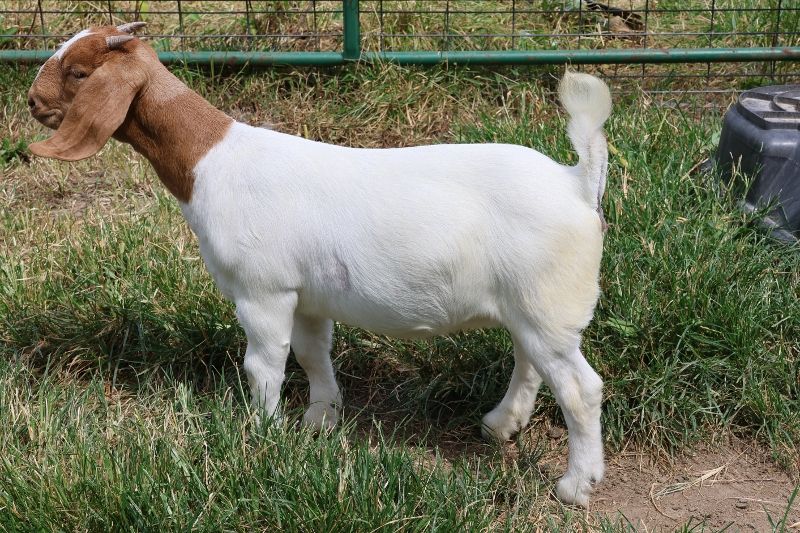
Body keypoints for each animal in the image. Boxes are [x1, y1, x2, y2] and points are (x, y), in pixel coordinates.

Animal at [27, 23, 612, 507]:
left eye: (78, 72)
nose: (32, 102)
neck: (210, 159)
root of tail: (576, 183)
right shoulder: (307, 295)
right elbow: (312, 354)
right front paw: (319, 421)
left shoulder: (262, 291)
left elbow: (264, 365)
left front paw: (262, 436)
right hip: (529, 303)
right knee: (530, 362)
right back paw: (500, 424)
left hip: (545, 301)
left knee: (579, 389)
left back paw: (575, 485)